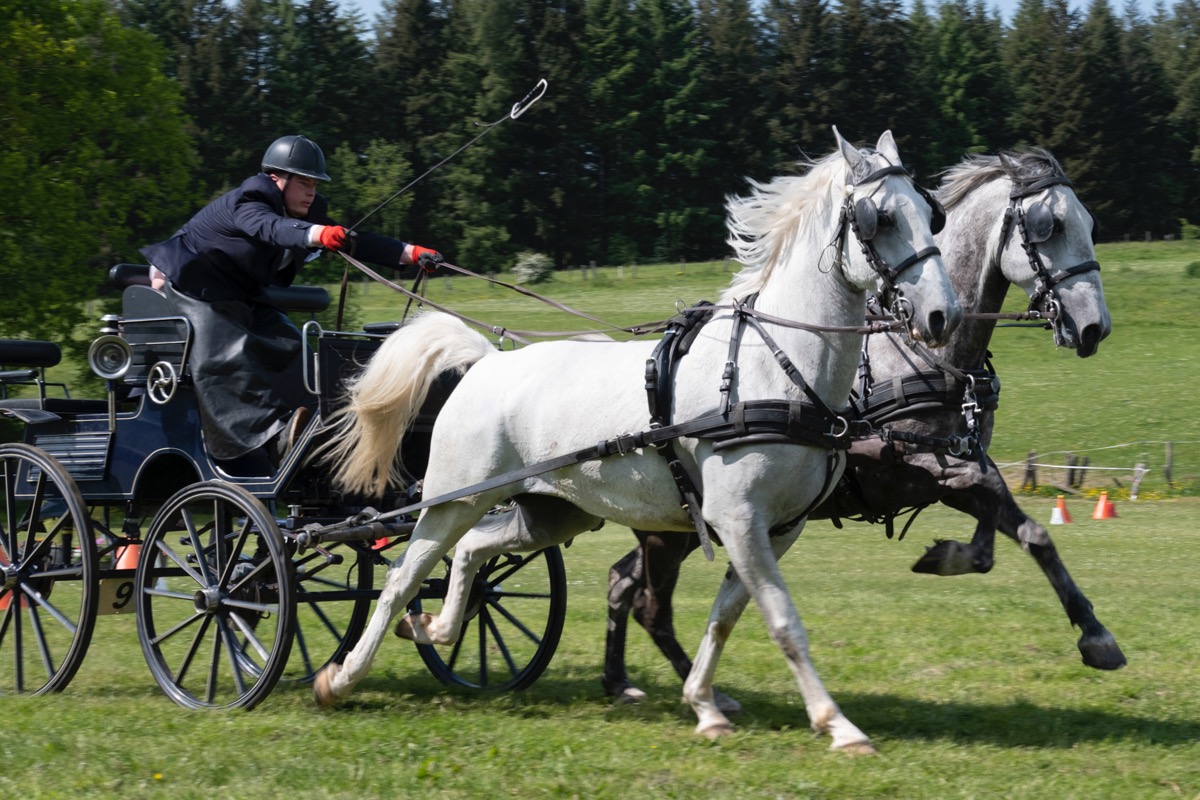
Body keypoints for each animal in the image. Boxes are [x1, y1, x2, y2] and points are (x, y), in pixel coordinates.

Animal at [314, 128, 960, 753]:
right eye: (880, 218)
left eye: (931, 214)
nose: (941, 316)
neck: (777, 368)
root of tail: (486, 360)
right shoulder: (740, 520)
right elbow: (782, 620)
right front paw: (837, 724)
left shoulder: (778, 529)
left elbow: (725, 617)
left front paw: (705, 704)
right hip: (453, 499)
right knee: (402, 578)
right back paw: (341, 677)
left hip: (553, 512)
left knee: (472, 552)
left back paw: (434, 628)